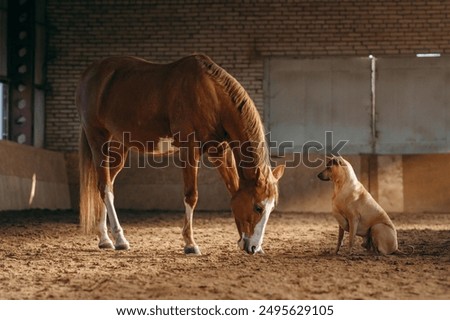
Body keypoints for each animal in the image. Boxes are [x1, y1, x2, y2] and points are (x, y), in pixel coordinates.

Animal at [75, 54, 284, 255]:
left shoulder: (219, 151)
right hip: (98, 140)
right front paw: (190, 243)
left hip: (119, 147)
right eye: (258, 207)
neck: (212, 96)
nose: (254, 247)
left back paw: (105, 239)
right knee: (105, 187)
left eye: (271, 208)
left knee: (106, 184)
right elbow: (191, 195)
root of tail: (90, 73)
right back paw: (119, 239)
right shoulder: (190, 149)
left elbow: (233, 190)